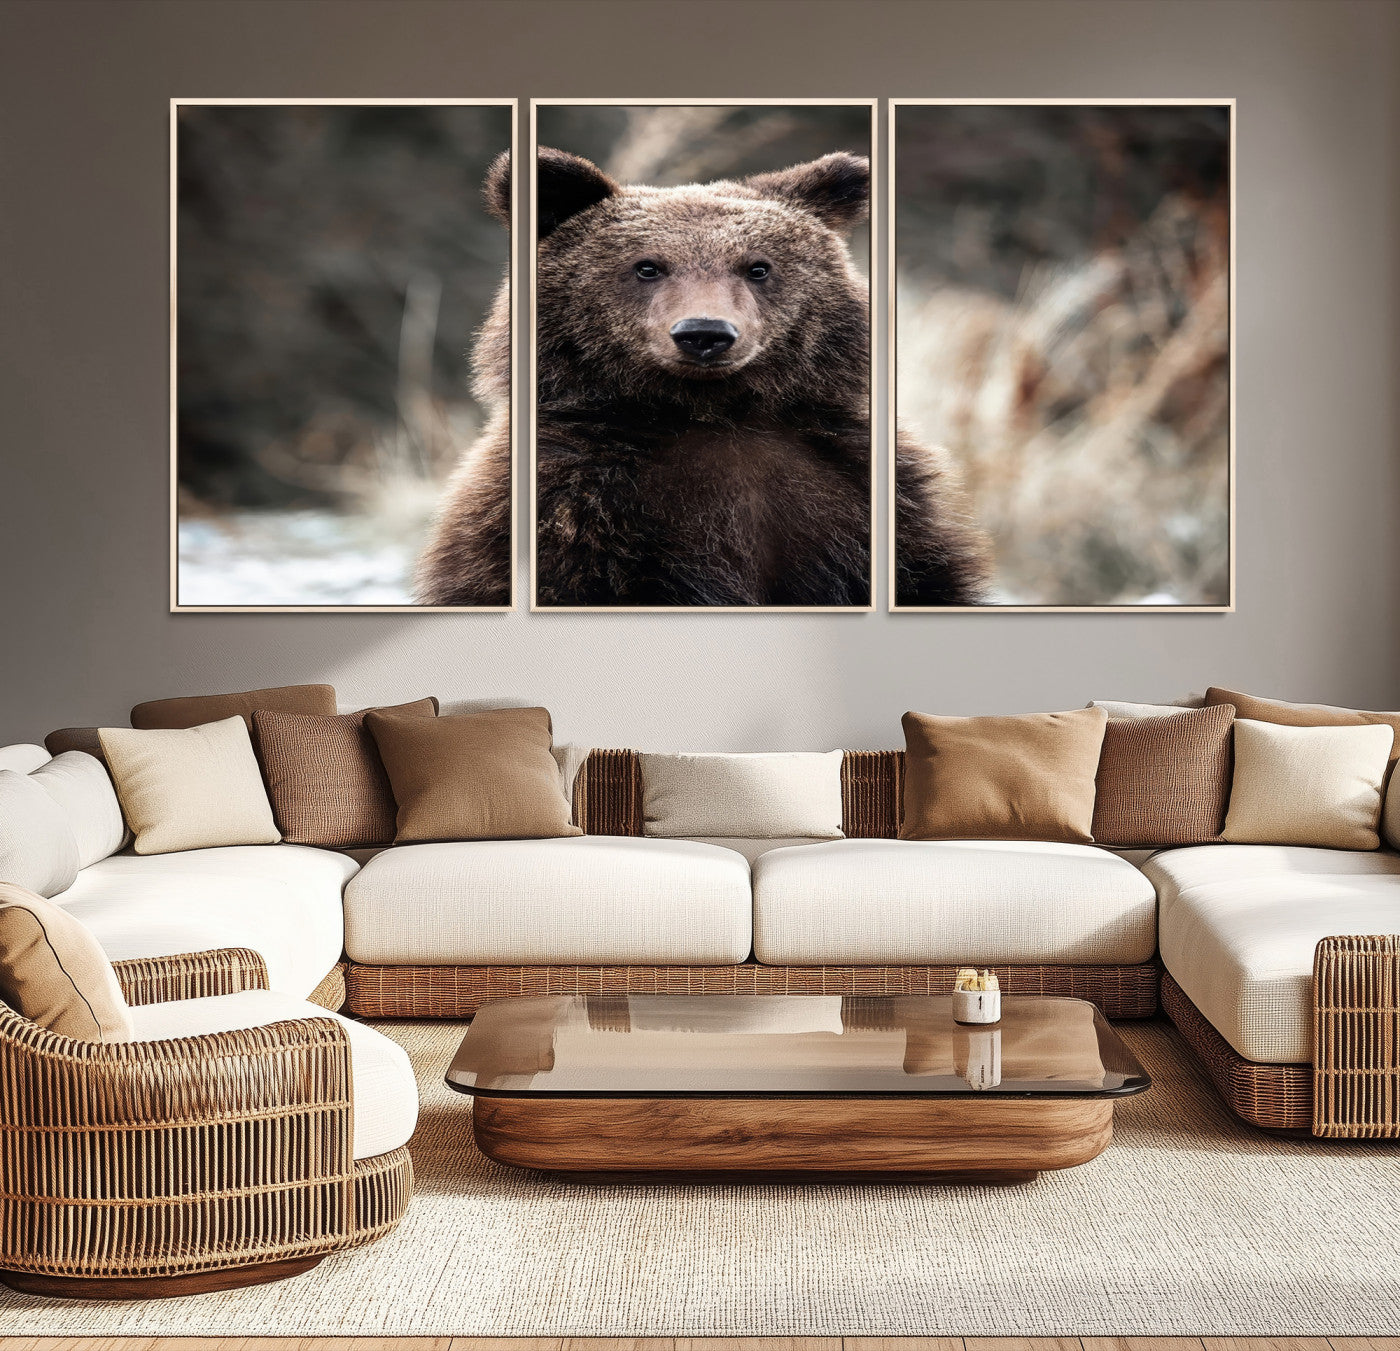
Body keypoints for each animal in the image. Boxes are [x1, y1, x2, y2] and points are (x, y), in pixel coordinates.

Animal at [416, 147, 987, 608]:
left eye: (758, 266)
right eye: (647, 266)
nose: (705, 333)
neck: (711, 411)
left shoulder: (857, 491)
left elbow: (924, 578)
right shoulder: (572, 506)